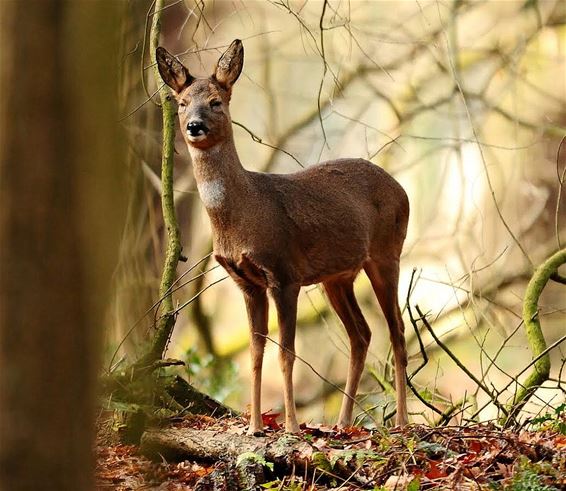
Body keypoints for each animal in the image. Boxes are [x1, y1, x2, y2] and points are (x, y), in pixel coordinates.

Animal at [158, 40, 410, 436]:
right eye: (181, 103)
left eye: (216, 101)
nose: (194, 126)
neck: (244, 214)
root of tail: (402, 189)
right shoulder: (247, 283)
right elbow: (255, 352)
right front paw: (254, 427)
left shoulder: (284, 273)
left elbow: (286, 352)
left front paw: (290, 425)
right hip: (338, 277)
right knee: (362, 333)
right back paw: (343, 423)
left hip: (387, 254)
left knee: (397, 331)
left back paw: (401, 421)